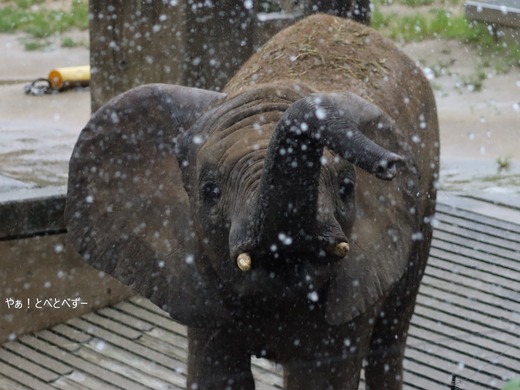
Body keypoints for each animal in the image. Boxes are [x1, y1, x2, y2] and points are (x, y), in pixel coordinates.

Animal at [65, 13, 438, 388]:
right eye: (210, 193)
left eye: (347, 188)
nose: (390, 164)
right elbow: (217, 374)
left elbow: (320, 376)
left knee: (391, 334)